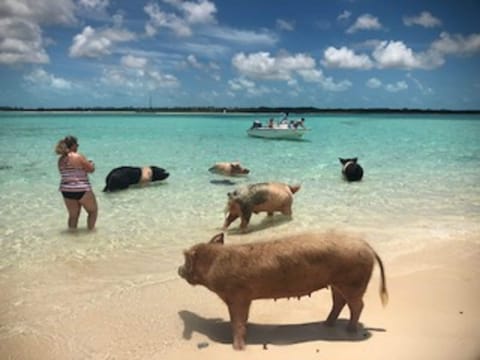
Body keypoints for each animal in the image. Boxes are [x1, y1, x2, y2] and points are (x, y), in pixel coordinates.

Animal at [178, 232, 388, 350]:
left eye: (186, 259)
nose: (178, 269)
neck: (214, 263)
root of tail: (368, 246)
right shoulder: (244, 298)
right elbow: (242, 320)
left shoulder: (237, 295)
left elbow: (237, 321)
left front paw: (237, 349)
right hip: (337, 283)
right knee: (339, 301)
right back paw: (327, 324)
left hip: (353, 283)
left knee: (358, 305)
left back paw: (350, 330)